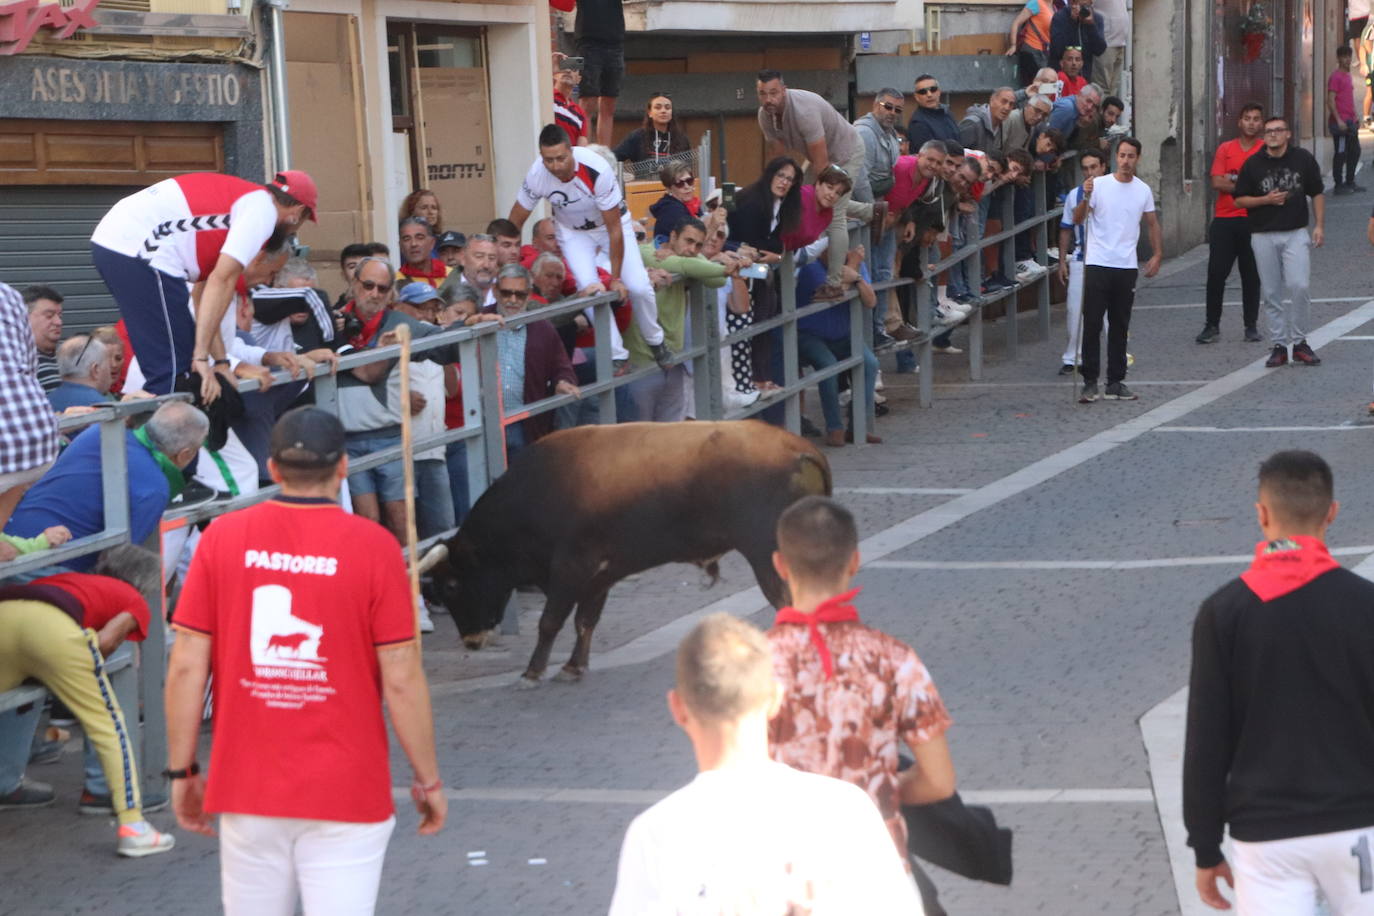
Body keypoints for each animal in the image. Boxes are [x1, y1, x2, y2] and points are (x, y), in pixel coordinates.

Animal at [420, 420, 824, 683]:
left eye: (452, 585)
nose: (471, 642)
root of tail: (799, 449)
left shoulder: (570, 569)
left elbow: (550, 621)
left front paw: (533, 670)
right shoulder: (601, 575)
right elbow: (585, 621)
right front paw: (573, 666)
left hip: (766, 555)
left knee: (787, 600)